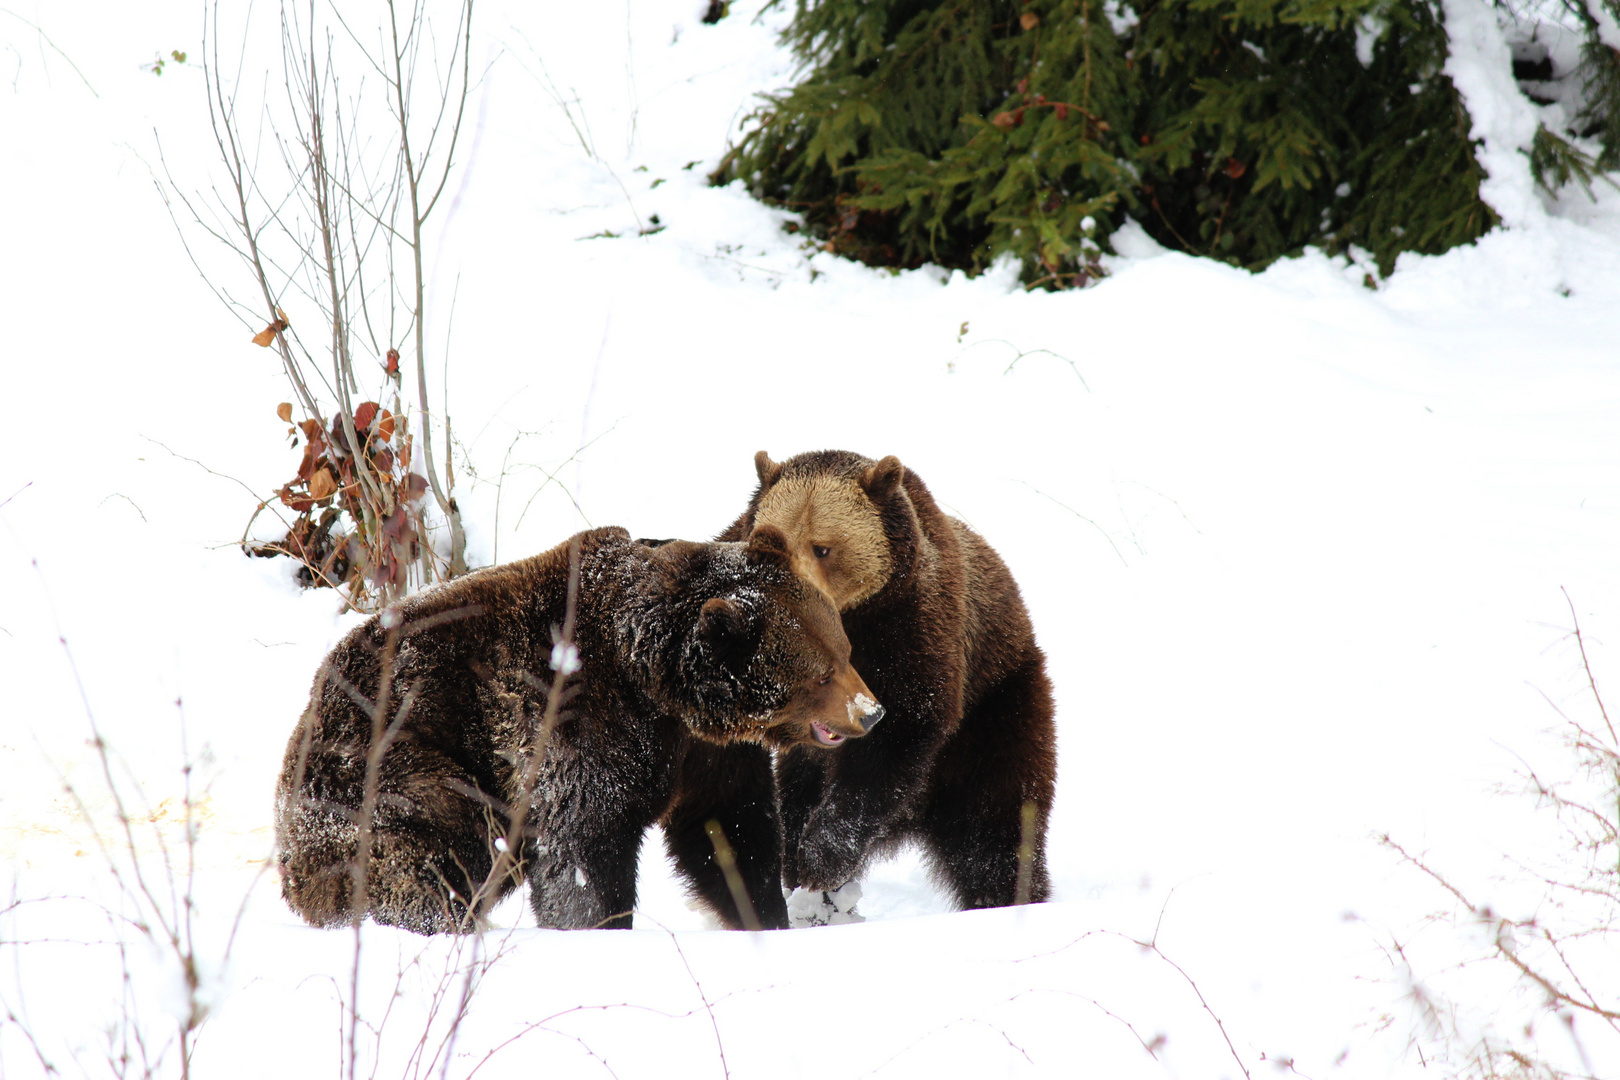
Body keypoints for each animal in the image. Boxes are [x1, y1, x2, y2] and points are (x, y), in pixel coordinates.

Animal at [278, 521, 887, 932]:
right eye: (822, 673)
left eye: (846, 649)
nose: (871, 711)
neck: (658, 682)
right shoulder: (572, 721)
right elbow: (584, 845)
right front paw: (597, 926)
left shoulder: (703, 754)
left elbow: (731, 829)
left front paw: (765, 912)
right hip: (389, 766)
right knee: (428, 852)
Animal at [725, 453, 1062, 906]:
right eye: (770, 540)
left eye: (823, 547)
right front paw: (806, 862)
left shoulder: (913, 628)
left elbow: (897, 731)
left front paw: (822, 856)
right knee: (796, 793)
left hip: (996, 709)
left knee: (996, 826)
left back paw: (1009, 896)